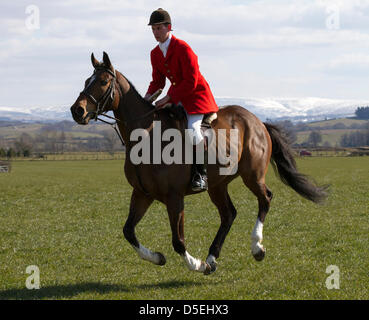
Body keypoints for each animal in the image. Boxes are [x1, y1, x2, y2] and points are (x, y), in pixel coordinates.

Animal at [69, 52, 324, 276]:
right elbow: (128, 231)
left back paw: (256, 248)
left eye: (103, 82)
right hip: (217, 184)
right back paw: (212, 257)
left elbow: (178, 241)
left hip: (252, 175)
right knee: (229, 214)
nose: (76, 110)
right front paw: (158, 258)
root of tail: (257, 121)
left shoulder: (174, 197)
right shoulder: (142, 193)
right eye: (86, 81)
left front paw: (196, 264)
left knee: (265, 199)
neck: (146, 136)